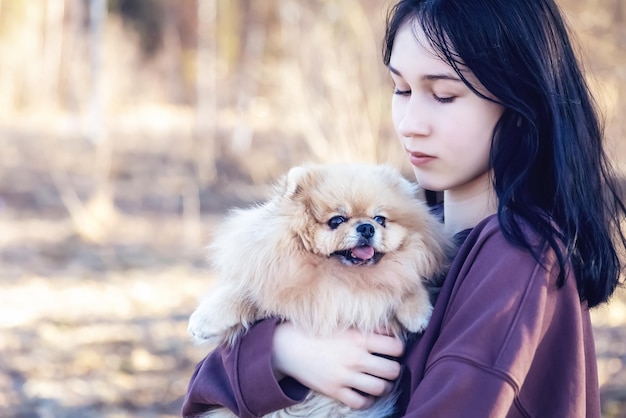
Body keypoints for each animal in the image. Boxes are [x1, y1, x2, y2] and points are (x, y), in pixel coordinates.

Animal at [188, 162, 450, 418]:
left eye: (380, 219)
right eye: (337, 220)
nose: (367, 227)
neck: (340, 278)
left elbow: (407, 282)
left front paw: (419, 314)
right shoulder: (270, 278)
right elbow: (239, 293)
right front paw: (203, 321)